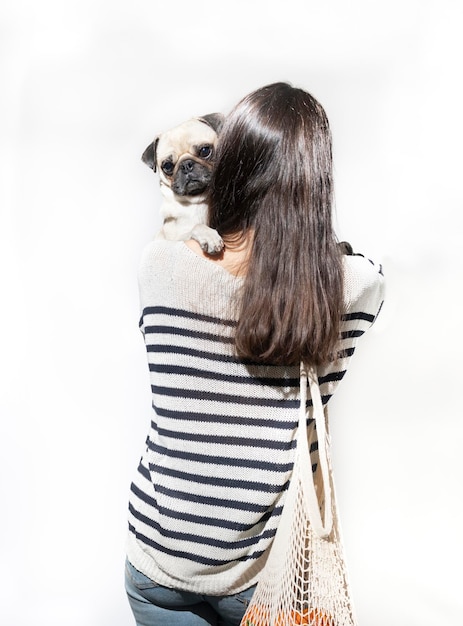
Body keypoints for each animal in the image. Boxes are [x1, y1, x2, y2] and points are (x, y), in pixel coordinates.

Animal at [143, 114, 227, 254]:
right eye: (167, 166)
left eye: (205, 151)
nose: (186, 165)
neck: (198, 200)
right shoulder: (173, 238)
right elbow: (196, 227)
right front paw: (209, 236)